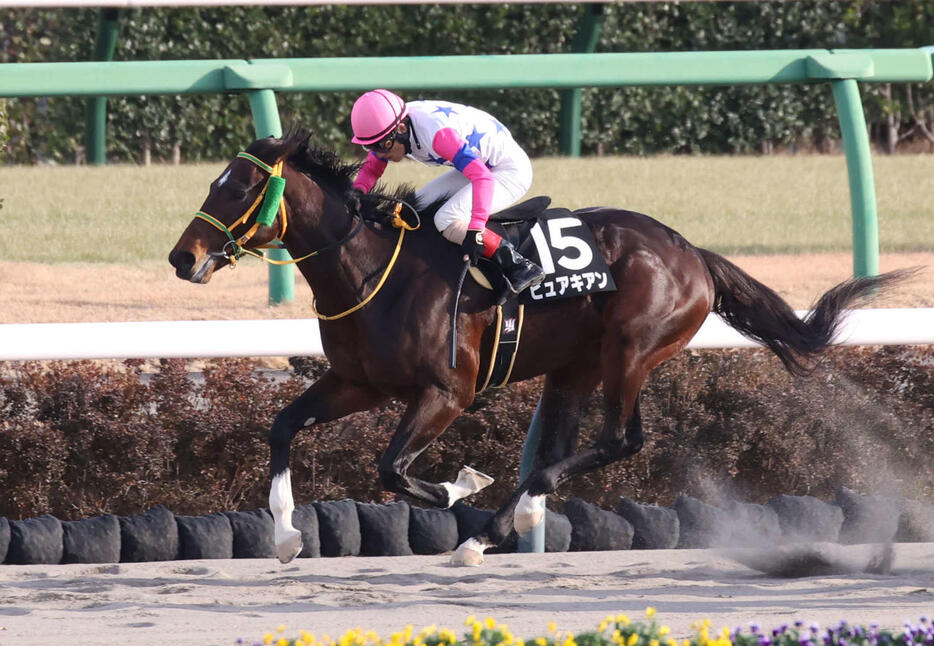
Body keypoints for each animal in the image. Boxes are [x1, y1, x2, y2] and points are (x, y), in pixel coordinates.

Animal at [170, 132, 916, 568]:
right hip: (574, 367)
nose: (183, 257)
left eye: (240, 186)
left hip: (631, 351)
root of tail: (691, 252)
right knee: (562, 447)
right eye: (212, 182)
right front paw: (286, 535)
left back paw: (491, 528)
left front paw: (462, 484)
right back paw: (507, 522)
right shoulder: (358, 382)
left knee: (619, 440)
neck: (371, 267)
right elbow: (282, 426)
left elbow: (392, 469)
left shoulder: (447, 392)